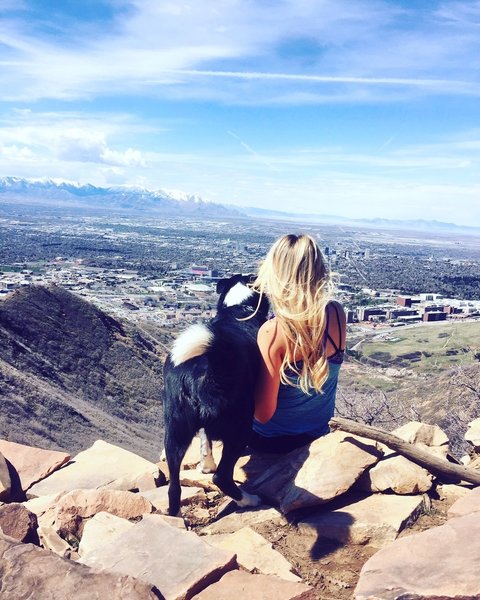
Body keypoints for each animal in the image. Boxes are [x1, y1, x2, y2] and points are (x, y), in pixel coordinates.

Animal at [164, 274, 270, 512]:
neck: (238, 309)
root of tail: (204, 370)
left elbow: (206, 440)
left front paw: (206, 464)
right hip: (240, 427)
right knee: (222, 477)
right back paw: (249, 500)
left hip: (175, 431)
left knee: (173, 487)